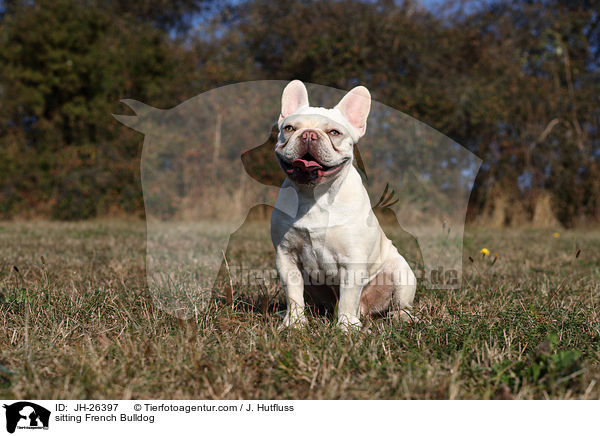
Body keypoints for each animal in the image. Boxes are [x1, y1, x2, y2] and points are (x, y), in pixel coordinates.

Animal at [272, 80, 418, 328]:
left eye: (334, 132)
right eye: (289, 128)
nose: (309, 135)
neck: (316, 195)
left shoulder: (353, 261)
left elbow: (349, 296)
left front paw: (347, 327)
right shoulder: (286, 255)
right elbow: (293, 293)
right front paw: (294, 322)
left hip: (401, 273)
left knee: (398, 303)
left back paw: (400, 317)